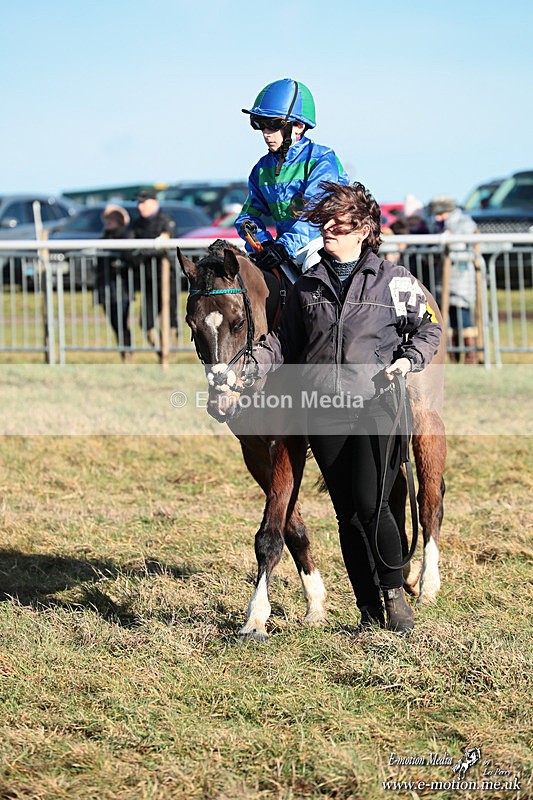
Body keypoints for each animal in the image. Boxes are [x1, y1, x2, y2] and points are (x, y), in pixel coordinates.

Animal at [178, 241, 446, 641]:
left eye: (238, 322)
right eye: (192, 326)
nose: (221, 401)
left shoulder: (287, 442)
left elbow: (270, 532)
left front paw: (256, 616)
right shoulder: (255, 452)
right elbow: (291, 527)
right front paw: (316, 603)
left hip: (424, 419)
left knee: (428, 497)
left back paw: (427, 581)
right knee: (395, 489)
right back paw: (403, 571)